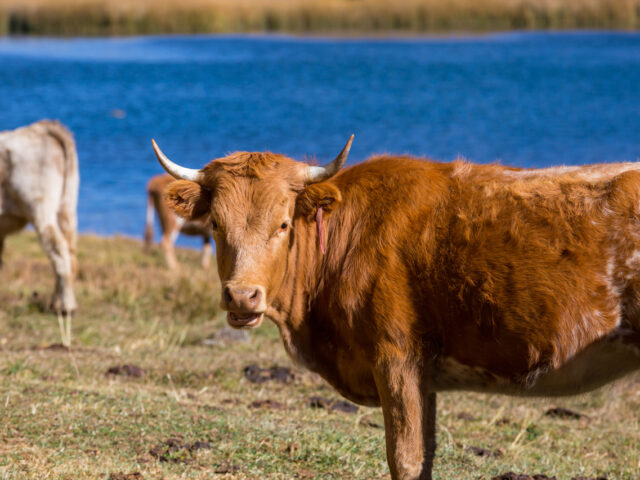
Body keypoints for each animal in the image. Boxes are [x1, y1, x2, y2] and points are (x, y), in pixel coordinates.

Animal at [0, 121, 79, 316]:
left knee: (59, 251)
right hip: (66, 209)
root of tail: (39, 127)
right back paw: (58, 303)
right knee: (70, 253)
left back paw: (66, 307)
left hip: (41, 210)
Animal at [151, 136, 640, 480]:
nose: (242, 296)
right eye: (216, 224)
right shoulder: (425, 376)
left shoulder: (396, 356)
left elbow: (405, 459)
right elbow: (425, 454)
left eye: (284, 224)